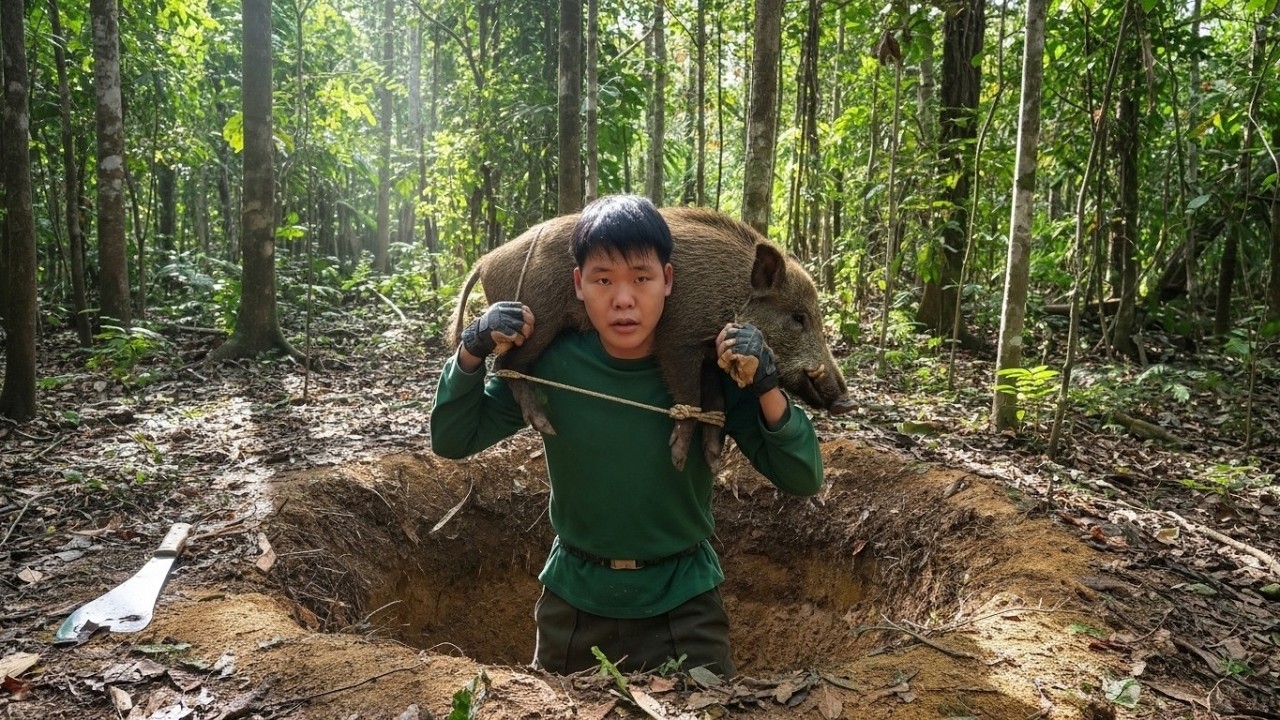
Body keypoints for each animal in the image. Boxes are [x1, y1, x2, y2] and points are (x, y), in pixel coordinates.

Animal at [449, 206, 855, 470]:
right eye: (798, 317)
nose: (846, 402)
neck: (732, 295)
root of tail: (484, 263)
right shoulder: (677, 341)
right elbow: (691, 398)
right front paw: (677, 460)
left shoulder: (708, 353)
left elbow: (716, 403)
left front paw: (711, 462)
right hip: (537, 320)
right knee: (506, 364)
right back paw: (545, 425)